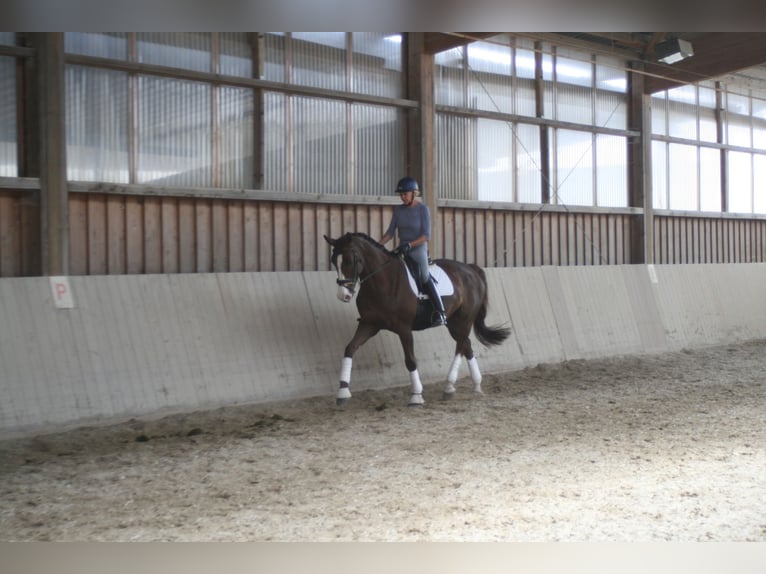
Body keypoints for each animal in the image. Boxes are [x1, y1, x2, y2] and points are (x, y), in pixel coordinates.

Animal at [322, 232, 510, 408]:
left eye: (349, 260)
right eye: (334, 261)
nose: (343, 295)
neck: (382, 281)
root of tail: (471, 269)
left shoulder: (404, 328)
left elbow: (410, 360)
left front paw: (416, 396)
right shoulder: (369, 324)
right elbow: (350, 348)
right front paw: (342, 392)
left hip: (464, 319)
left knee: (460, 346)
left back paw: (449, 384)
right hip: (454, 321)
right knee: (466, 345)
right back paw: (474, 386)